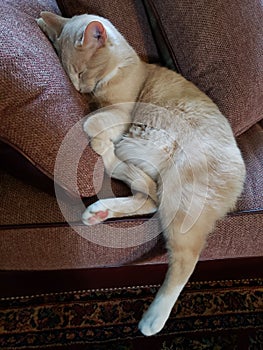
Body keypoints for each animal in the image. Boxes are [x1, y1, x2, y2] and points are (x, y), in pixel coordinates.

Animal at [37, 12, 248, 336]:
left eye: (81, 71)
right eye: (70, 74)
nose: (80, 88)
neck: (124, 68)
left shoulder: (120, 113)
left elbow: (90, 123)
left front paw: (97, 135)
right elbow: (93, 120)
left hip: (178, 197)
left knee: (185, 257)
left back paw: (153, 320)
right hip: (143, 163)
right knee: (147, 196)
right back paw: (98, 210)